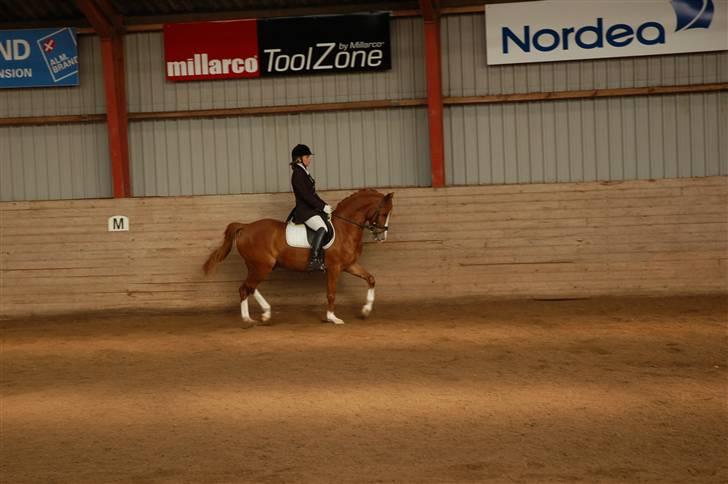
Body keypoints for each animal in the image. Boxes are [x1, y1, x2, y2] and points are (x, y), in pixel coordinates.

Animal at [202, 189, 396, 326]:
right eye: (384, 213)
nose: (382, 237)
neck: (345, 228)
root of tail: (246, 226)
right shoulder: (334, 268)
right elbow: (331, 293)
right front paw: (332, 318)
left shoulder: (349, 265)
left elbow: (371, 279)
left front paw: (366, 310)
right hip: (262, 266)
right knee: (245, 288)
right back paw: (248, 320)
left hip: (259, 266)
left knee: (250, 287)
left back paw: (266, 313)